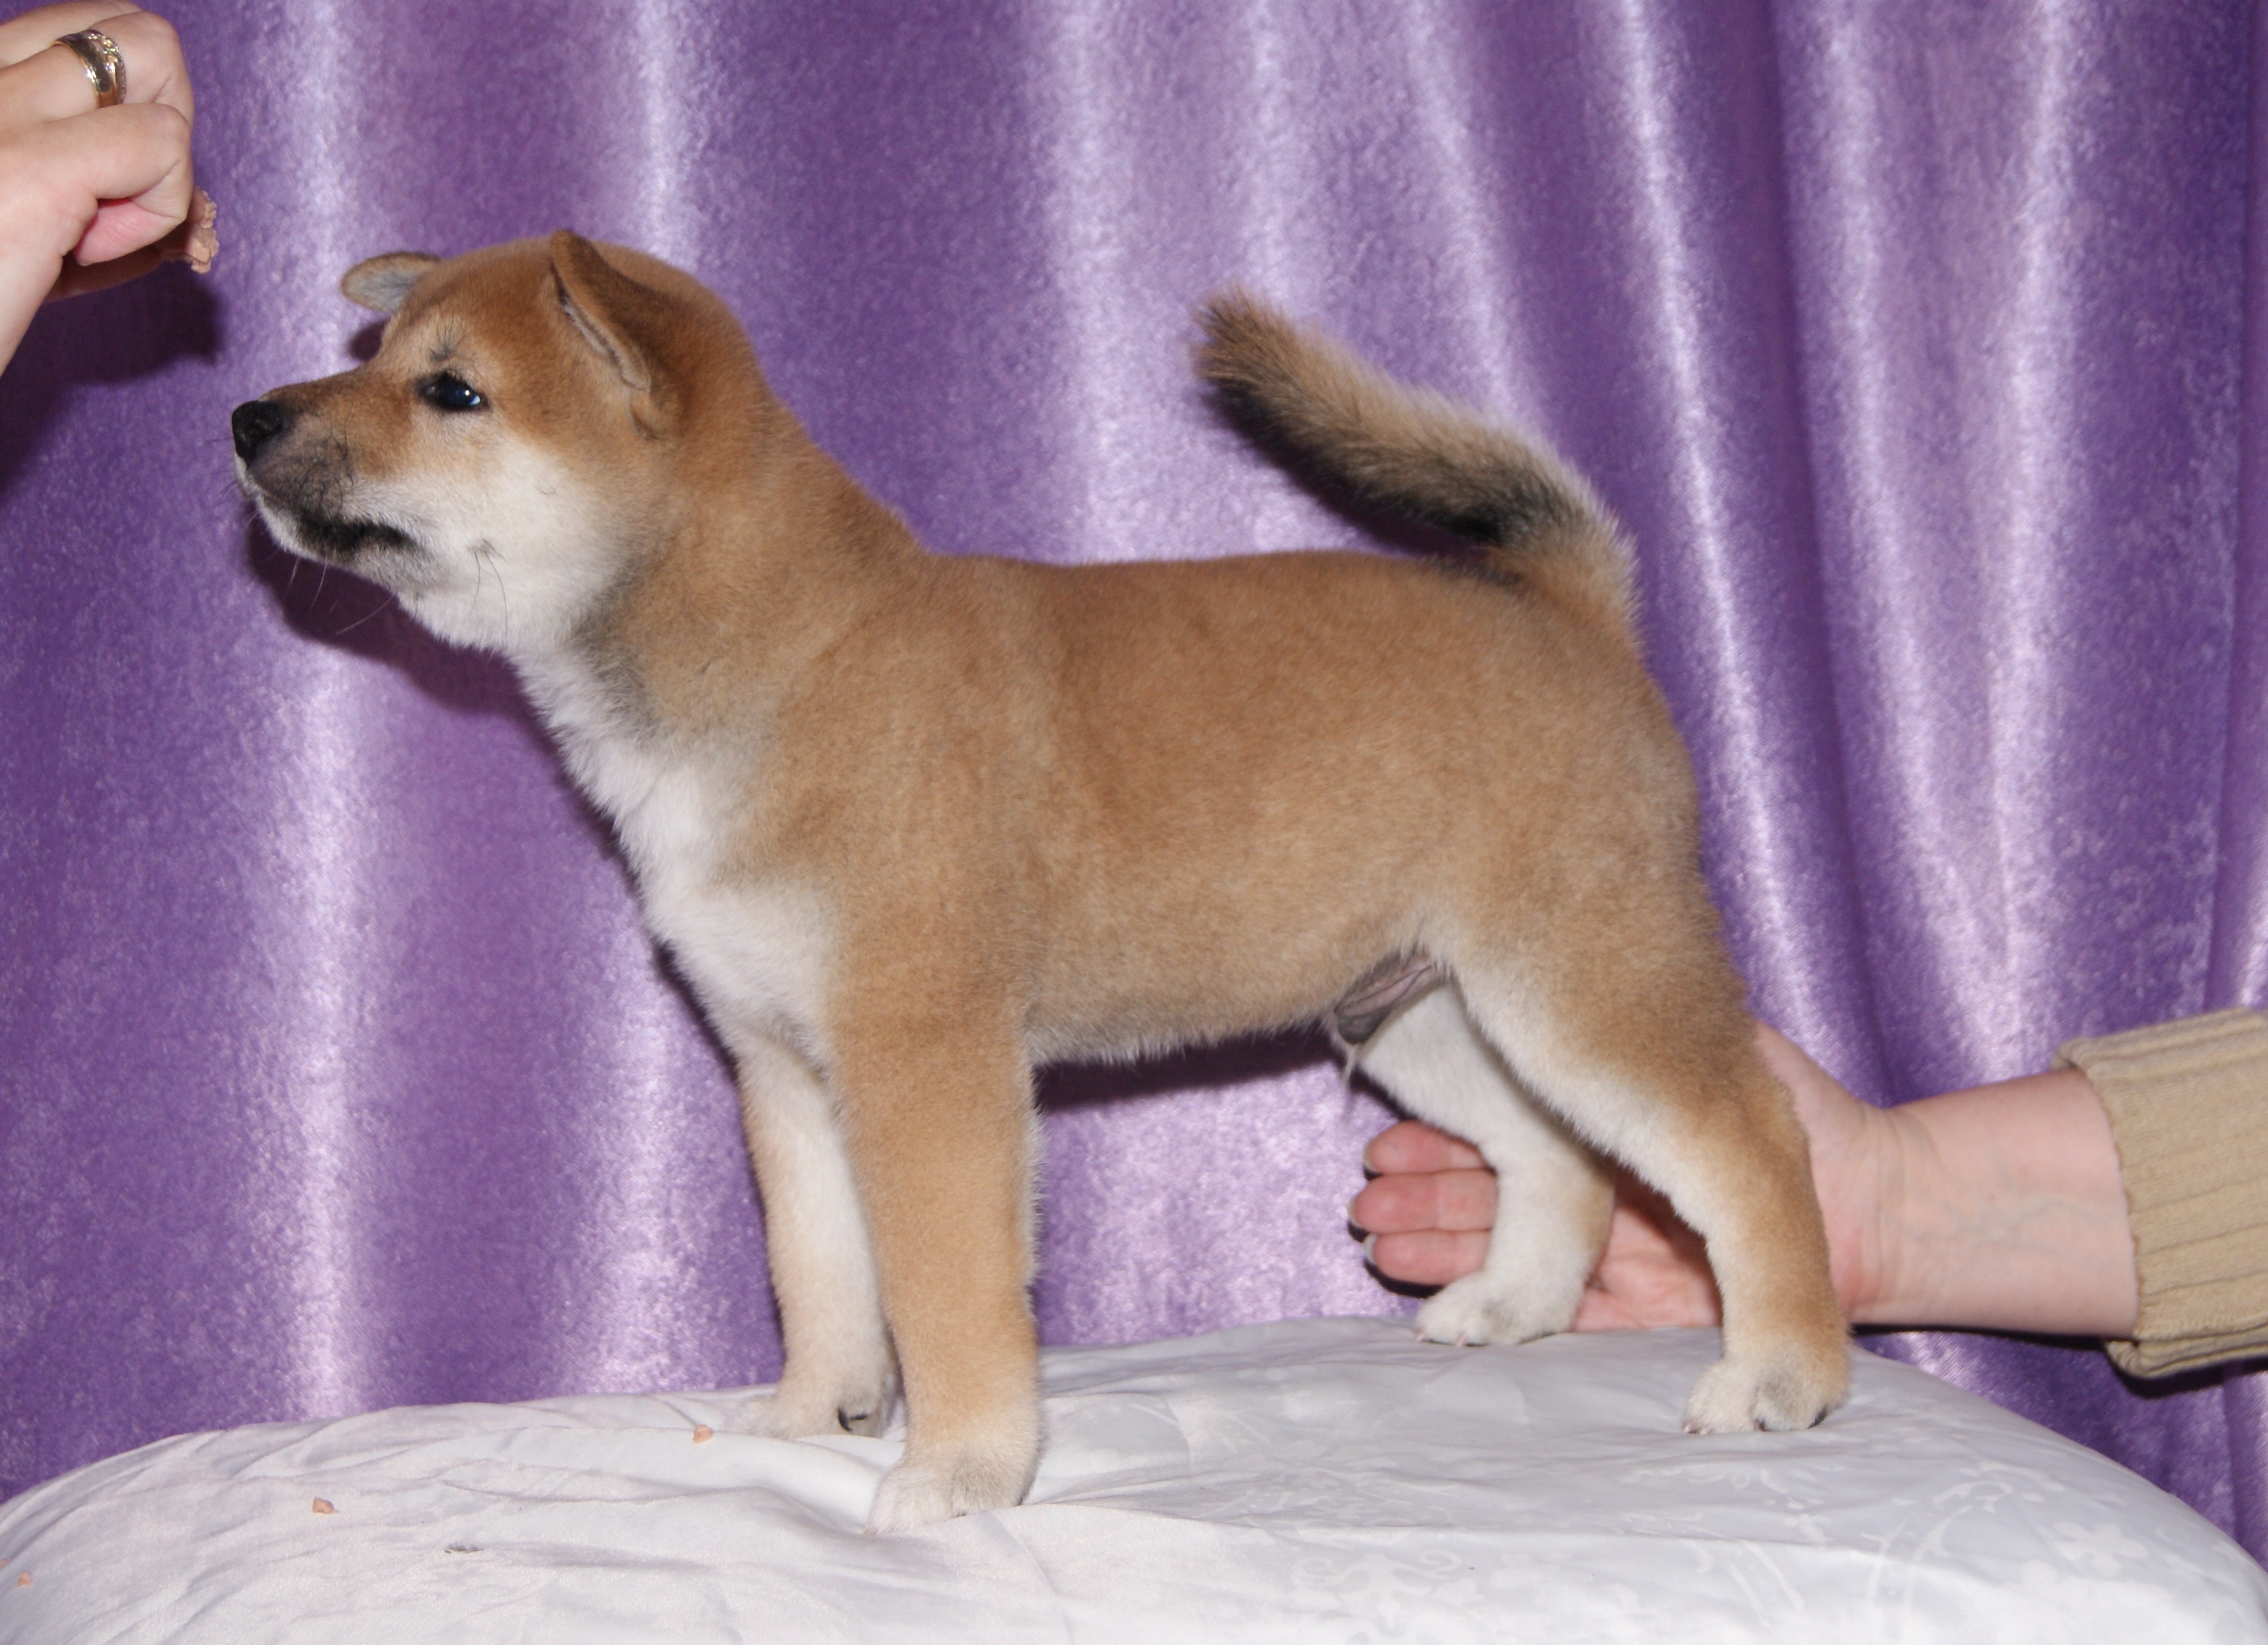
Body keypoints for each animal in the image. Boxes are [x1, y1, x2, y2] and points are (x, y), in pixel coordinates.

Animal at [231, 232, 1848, 1533]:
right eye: (377, 351)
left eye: (451, 391)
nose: (249, 416)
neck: (782, 660)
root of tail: (1573, 618)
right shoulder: (786, 1068)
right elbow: (822, 1273)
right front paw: (809, 1416)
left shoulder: (924, 1062)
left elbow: (944, 1297)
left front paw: (958, 1471)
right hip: (1434, 1011)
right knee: (1561, 1157)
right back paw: (1512, 1307)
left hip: (1574, 977)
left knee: (1752, 1144)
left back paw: (1782, 1371)